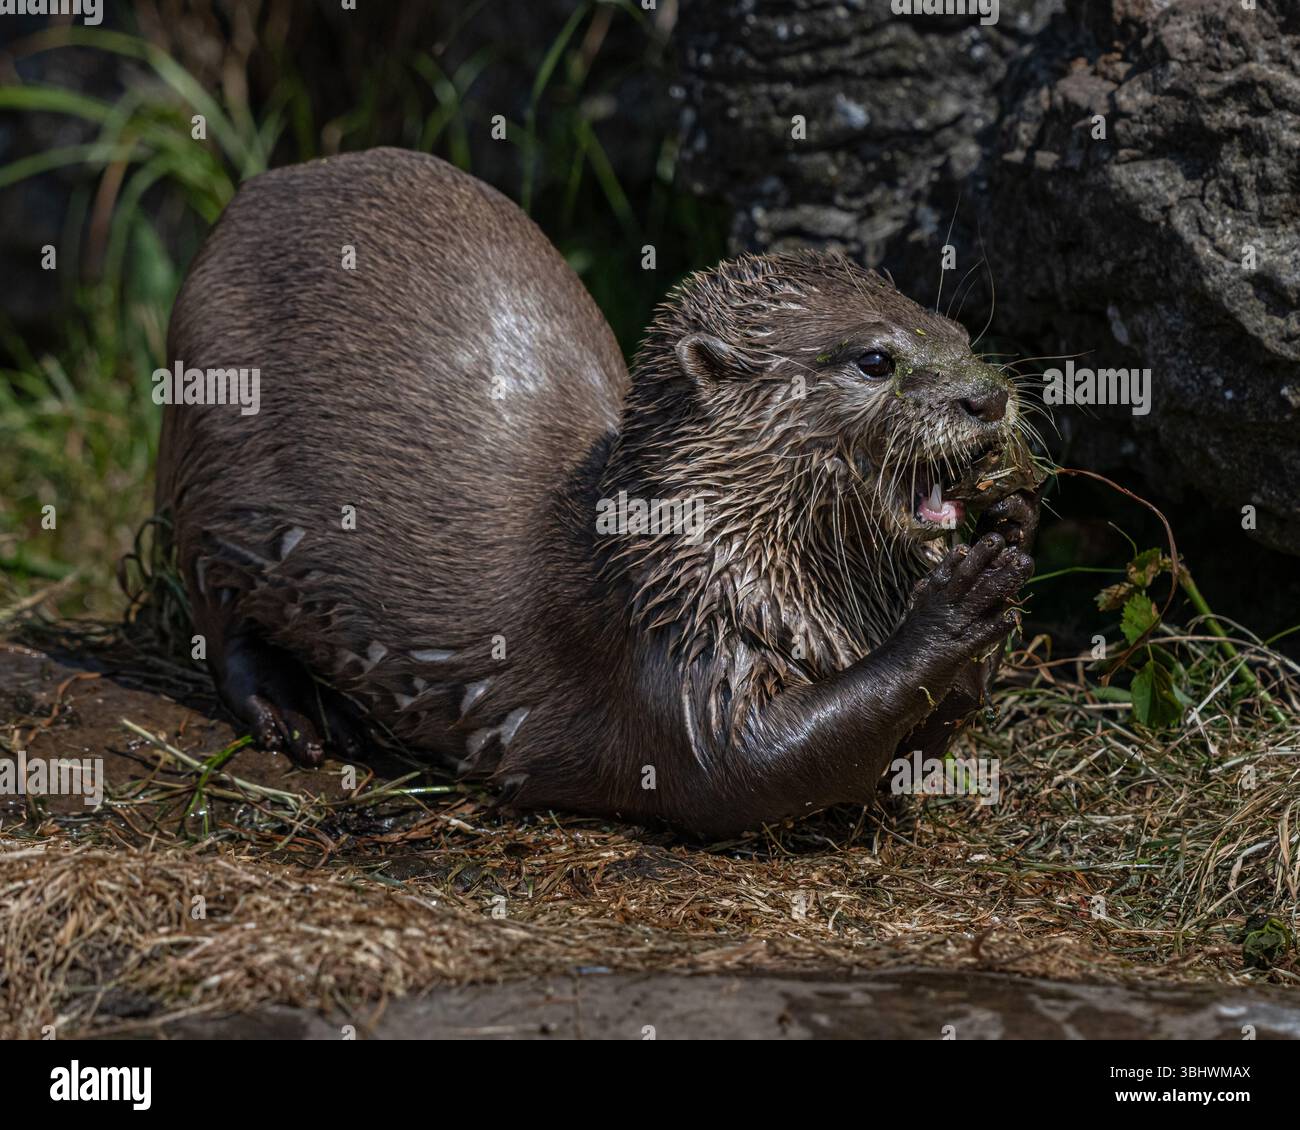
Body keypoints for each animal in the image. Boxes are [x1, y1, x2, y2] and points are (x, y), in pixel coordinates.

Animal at [157, 147, 1040, 838]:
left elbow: (909, 753)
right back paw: (299, 711)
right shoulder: (672, 637)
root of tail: (257, 185)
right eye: (875, 360)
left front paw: (1011, 530)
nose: (987, 397)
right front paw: (950, 610)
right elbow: (754, 764)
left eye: (960, 334)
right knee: (216, 612)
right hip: (212, 461)